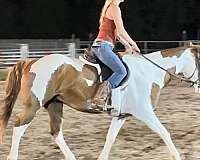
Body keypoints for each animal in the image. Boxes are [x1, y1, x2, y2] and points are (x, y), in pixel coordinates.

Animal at [0, 44, 199, 160]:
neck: (148, 71)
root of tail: (31, 61)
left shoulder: (121, 115)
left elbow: (110, 138)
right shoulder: (145, 112)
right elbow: (165, 133)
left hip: (54, 104)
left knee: (56, 132)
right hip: (33, 106)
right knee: (18, 127)